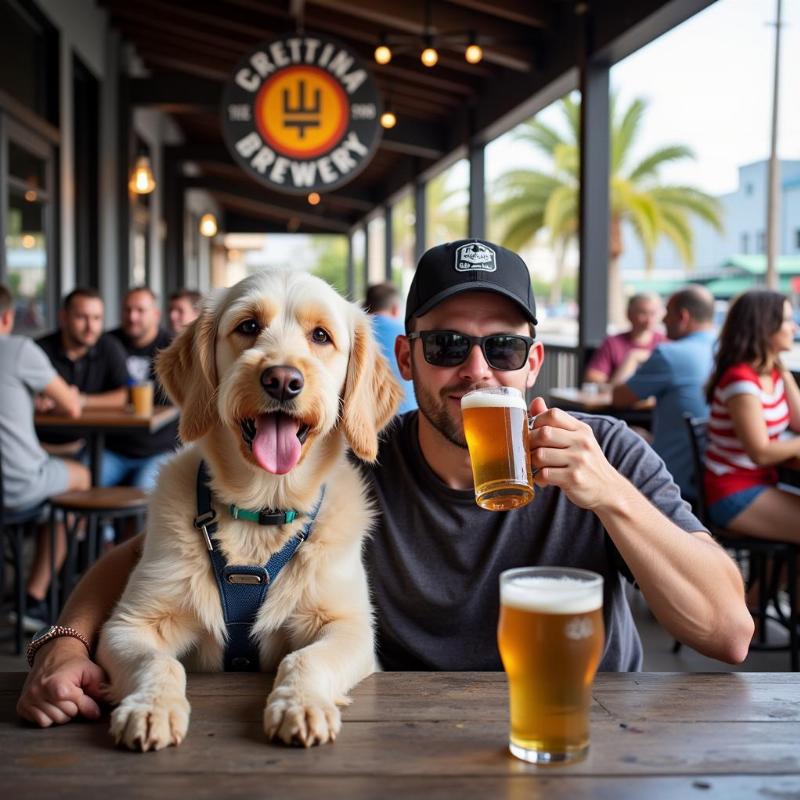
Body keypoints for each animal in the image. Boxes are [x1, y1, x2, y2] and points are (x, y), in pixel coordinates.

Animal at [97, 268, 404, 752]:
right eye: (248, 326)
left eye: (321, 336)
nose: (282, 379)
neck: (263, 510)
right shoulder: (130, 624)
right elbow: (160, 664)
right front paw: (151, 707)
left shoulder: (350, 628)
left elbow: (306, 659)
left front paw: (301, 703)